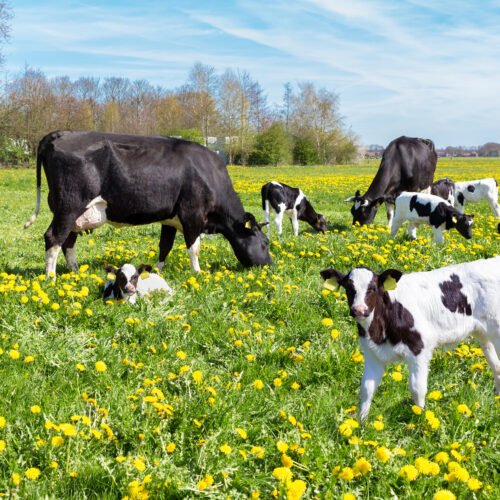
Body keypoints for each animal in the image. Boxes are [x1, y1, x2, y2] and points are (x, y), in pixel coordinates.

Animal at [23, 131, 274, 276]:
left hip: (74, 213)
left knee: (67, 241)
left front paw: (158, 272)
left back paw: (75, 272)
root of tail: (58, 134)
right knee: (53, 237)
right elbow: (194, 247)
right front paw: (197, 273)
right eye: (265, 243)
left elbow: (165, 246)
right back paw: (51, 278)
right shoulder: (192, 213)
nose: (270, 265)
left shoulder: (170, 219)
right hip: (69, 206)